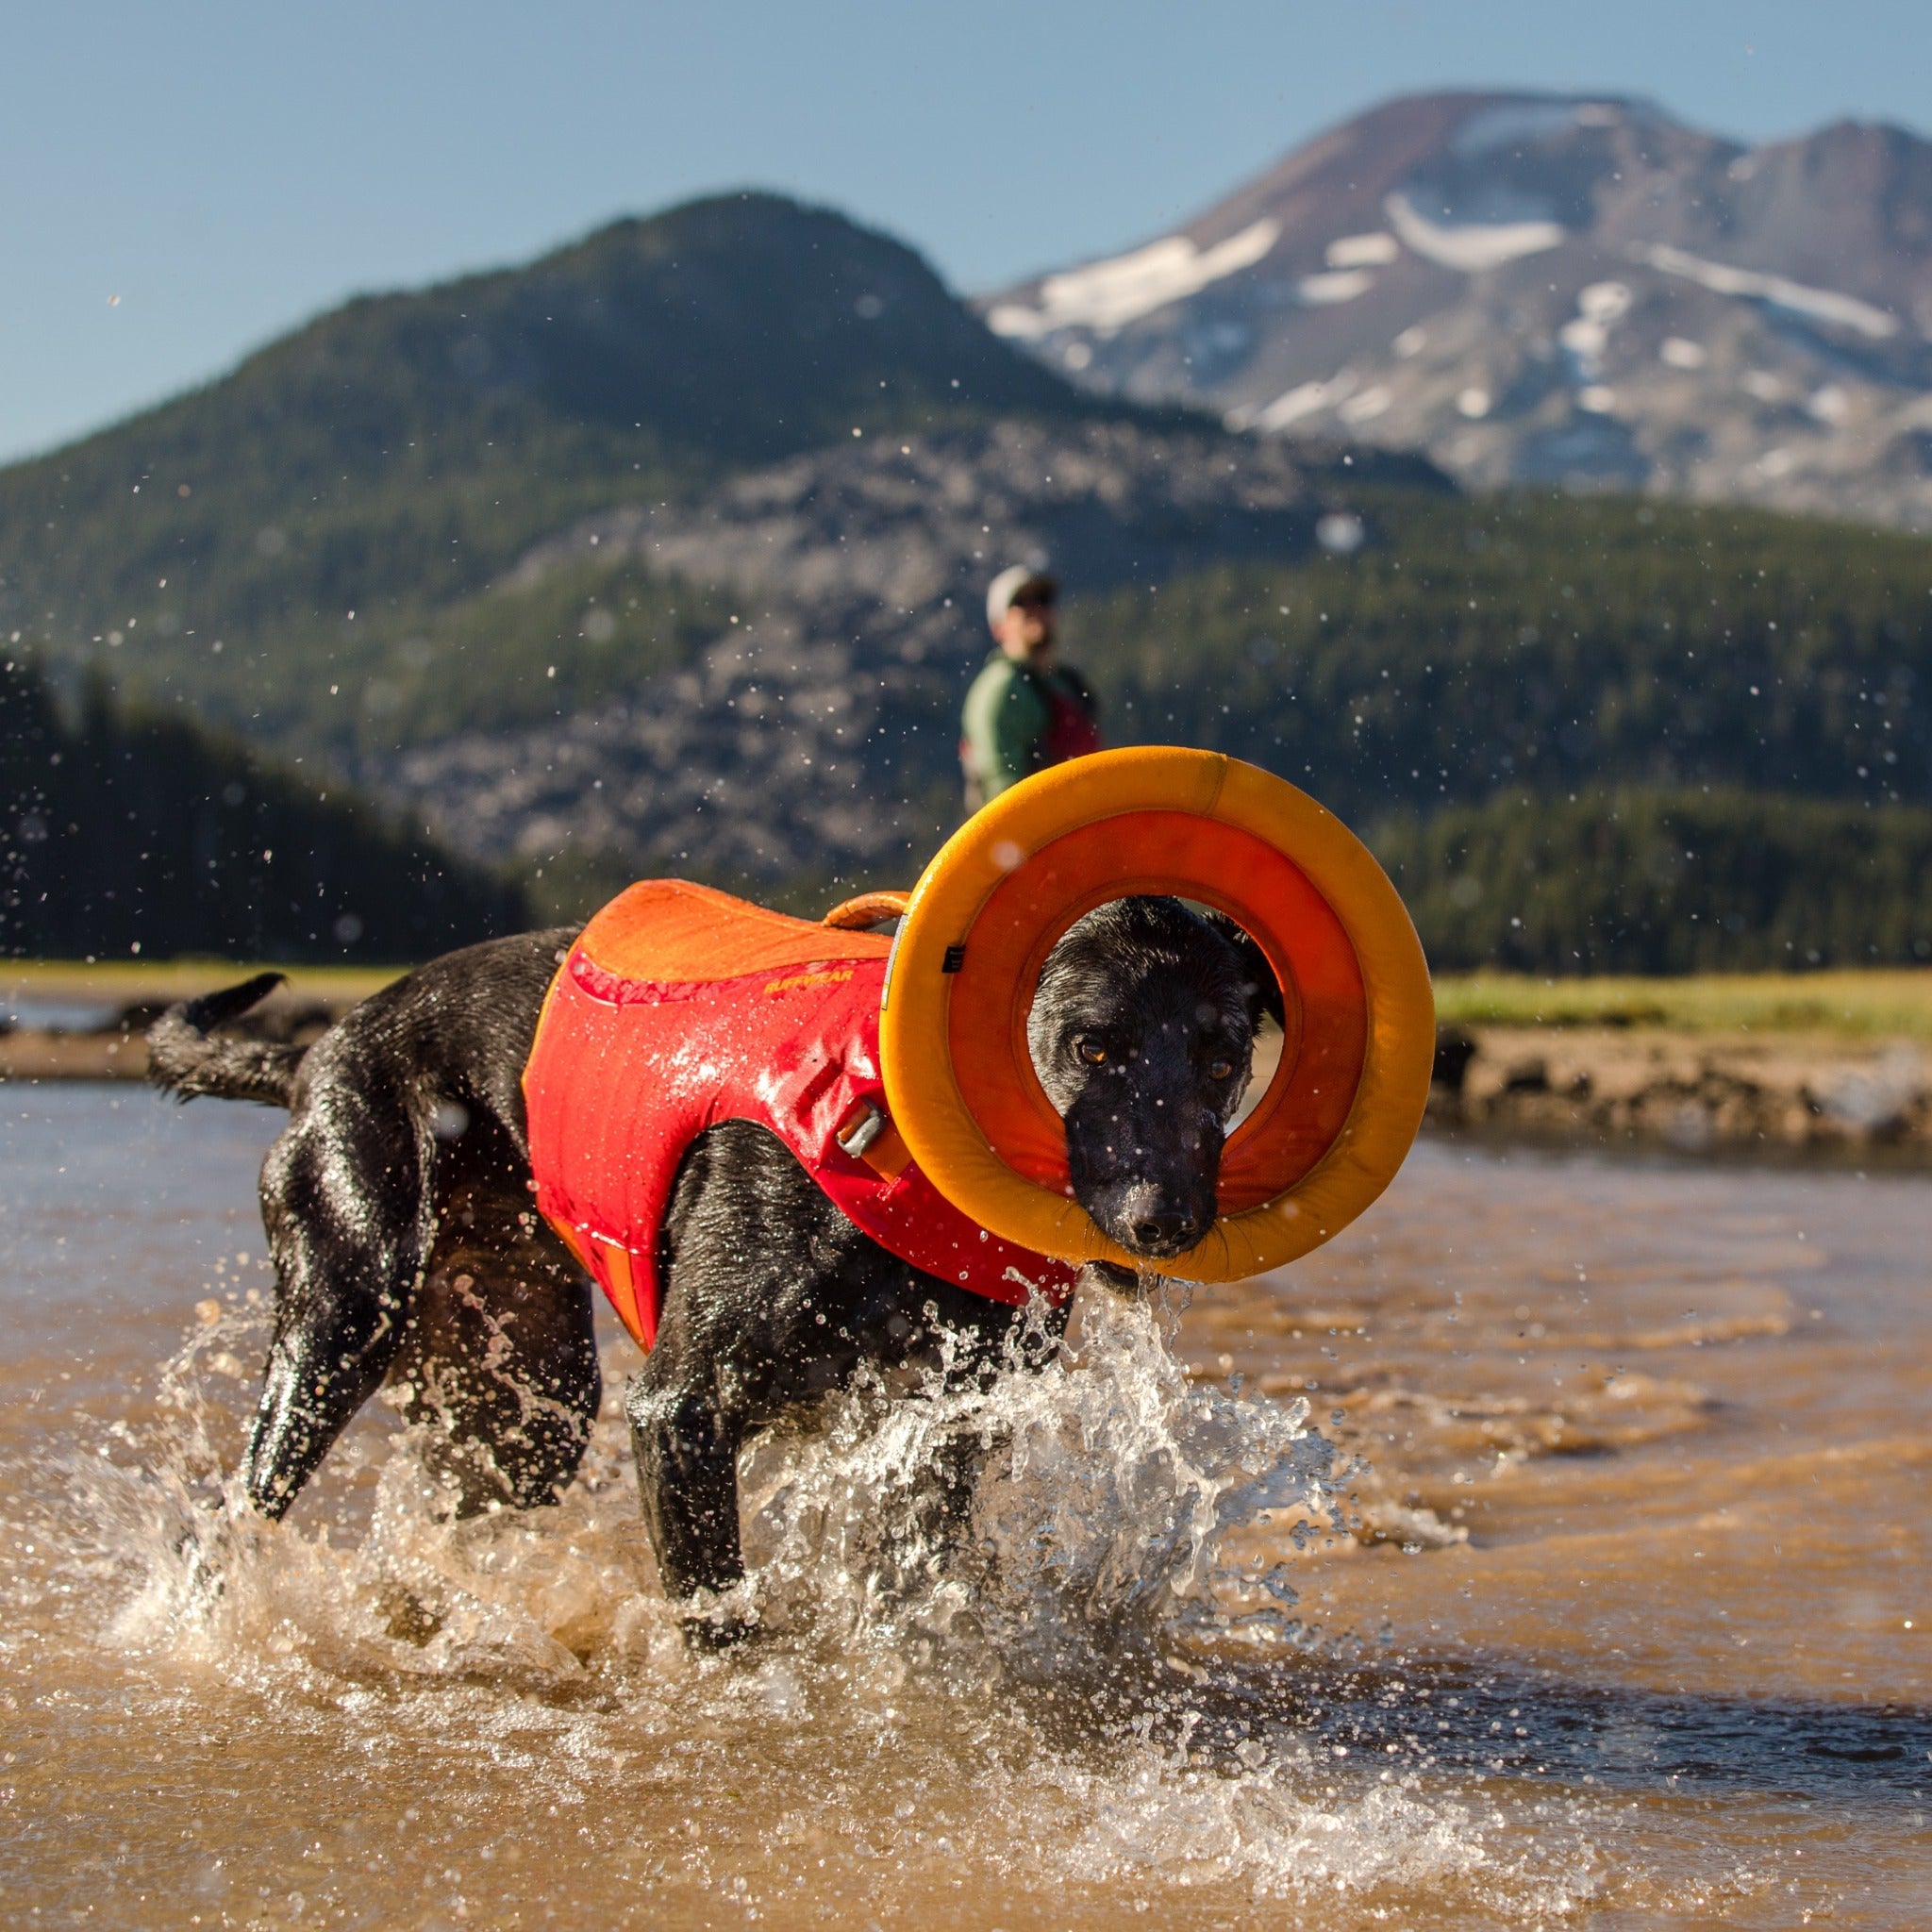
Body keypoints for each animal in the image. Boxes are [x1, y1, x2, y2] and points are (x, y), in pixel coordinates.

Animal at [146, 896, 1267, 1623]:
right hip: (344, 1313)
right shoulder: (679, 1411)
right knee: (233, 1508)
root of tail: (315, 1053)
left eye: (1222, 1061)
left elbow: (908, 1589)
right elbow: (721, 1621)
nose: (1161, 1223)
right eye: (1092, 1047)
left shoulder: (942, 1434)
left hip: (530, 1409)